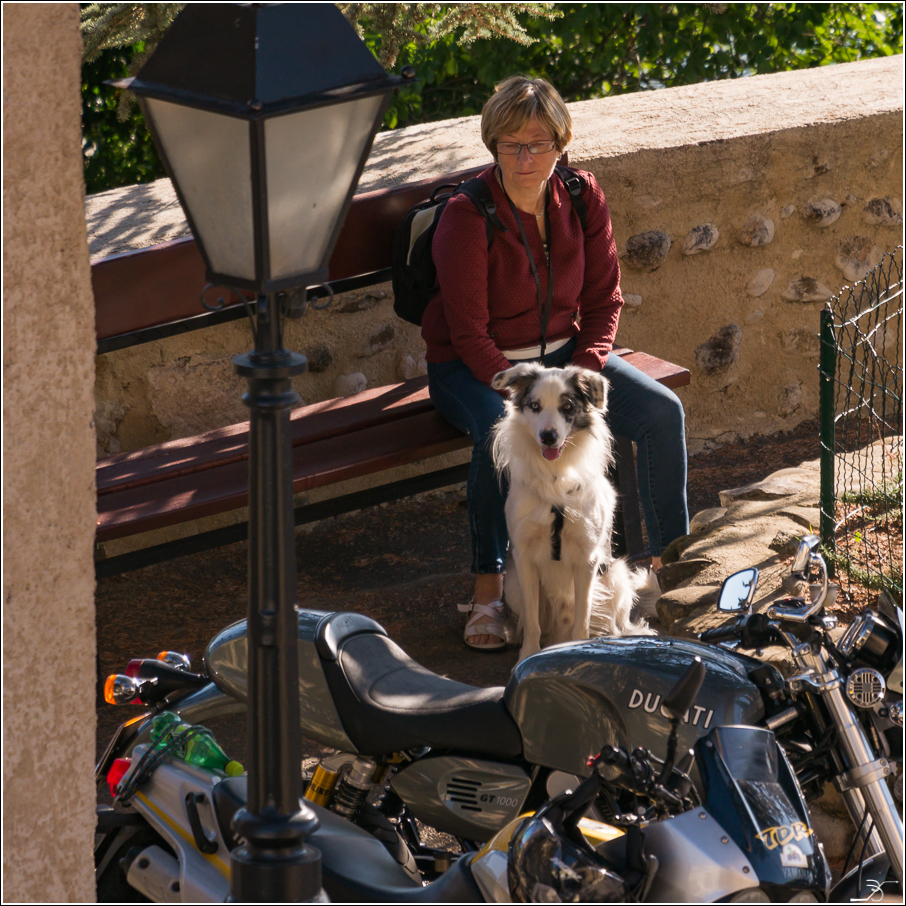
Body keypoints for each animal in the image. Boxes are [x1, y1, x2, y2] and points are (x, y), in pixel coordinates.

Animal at [490, 364, 652, 660]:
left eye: (567, 406)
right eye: (534, 406)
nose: (548, 437)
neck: (555, 475)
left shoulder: (587, 558)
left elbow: (582, 618)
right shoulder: (524, 557)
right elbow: (532, 621)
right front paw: (528, 654)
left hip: (616, 577)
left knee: (617, 624)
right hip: (512, 585)